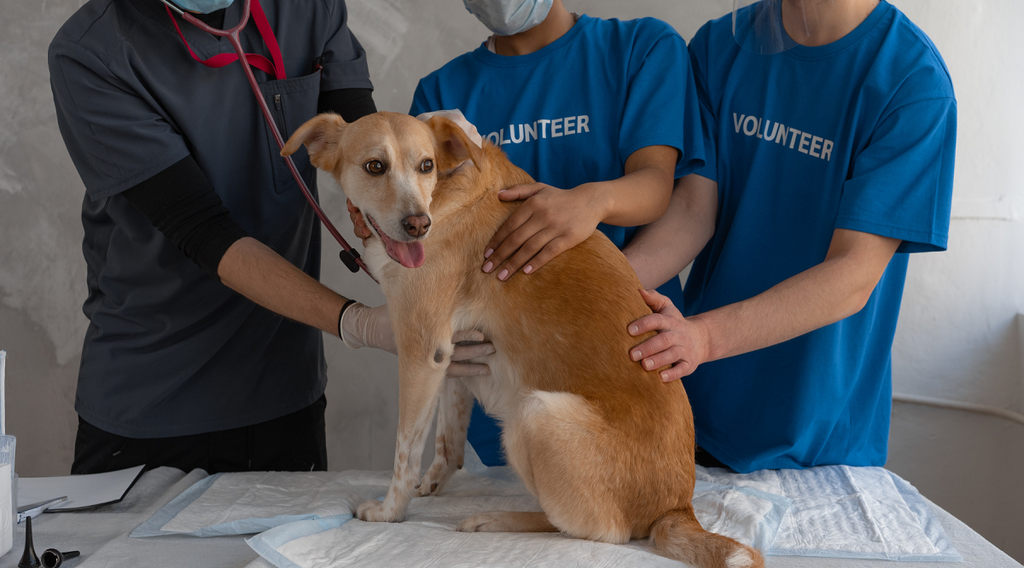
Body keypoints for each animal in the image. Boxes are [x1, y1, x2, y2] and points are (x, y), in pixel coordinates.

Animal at [284, 112, 765, 568]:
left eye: (426, 165)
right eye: (375, 166)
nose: (418, 225)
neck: (444, 194)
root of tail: (677, 508)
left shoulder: (422, 351)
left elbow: (405, 449)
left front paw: (389, 512)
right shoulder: (452, 354)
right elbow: (447, 438)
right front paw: (432, 482)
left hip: (534, 413)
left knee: (598, 531)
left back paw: (497, 519)